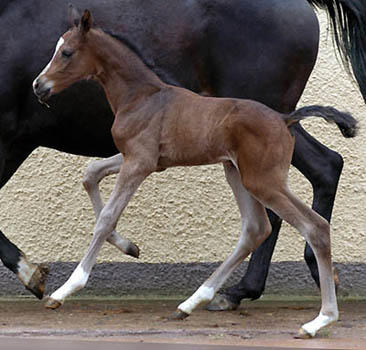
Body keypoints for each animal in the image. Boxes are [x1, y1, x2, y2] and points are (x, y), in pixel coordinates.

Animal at [32, 10, 358, 338]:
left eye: (67, 52)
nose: (38, 85)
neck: (141, 96)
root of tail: (284, 118)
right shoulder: (142, 159)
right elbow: (90, 174)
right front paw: (128, 246)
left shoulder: (139, 163)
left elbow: (106, 218)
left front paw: (65, 290)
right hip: (236, 172)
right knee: (256, 228)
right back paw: (193, 302)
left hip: (264, 181)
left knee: (315, 227)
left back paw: (320, 320)